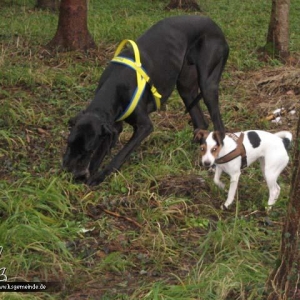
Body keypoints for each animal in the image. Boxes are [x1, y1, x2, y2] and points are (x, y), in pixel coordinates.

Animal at [62, 15, 227, 188]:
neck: (116, 83)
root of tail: (216, 27)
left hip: (207, 85)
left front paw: (99, 176)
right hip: (186, 87)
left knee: (219, 126)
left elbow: (121, 154)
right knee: (201, 122)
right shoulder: (113, 126)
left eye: (87, 150)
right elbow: (101, 152)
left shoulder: (144, 126)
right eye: (69, 143)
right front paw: (92, 174)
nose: (69, 172)